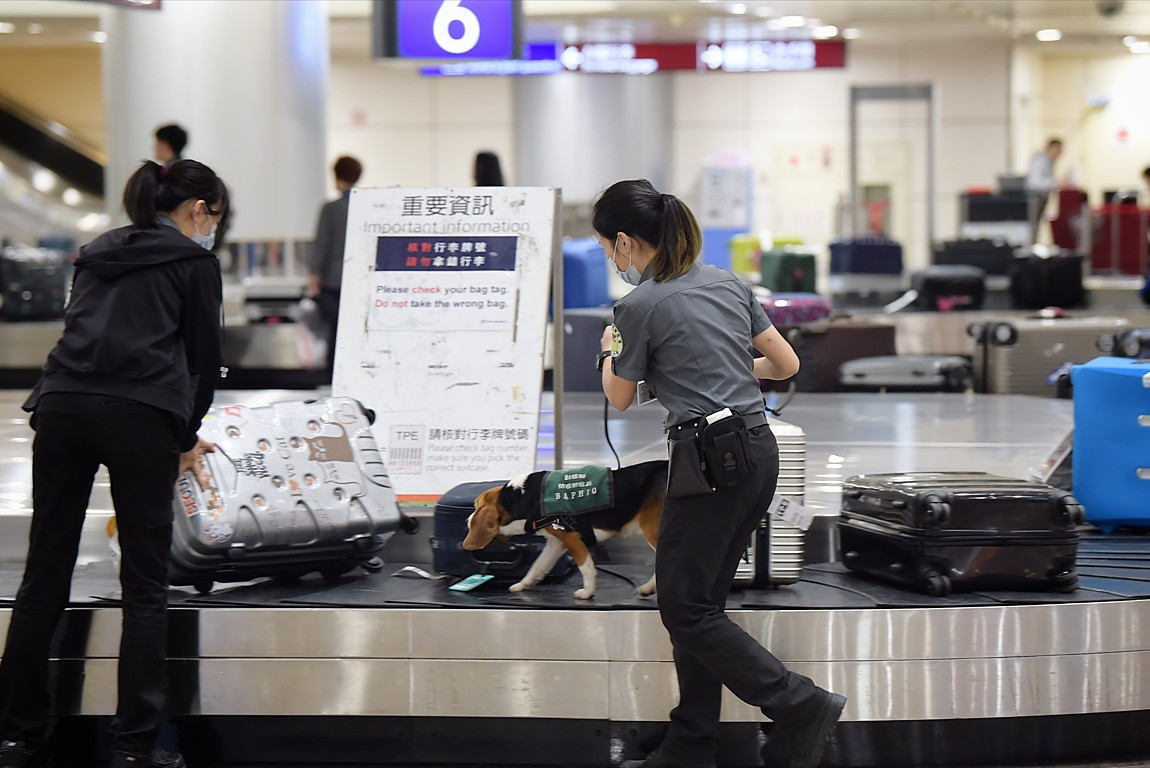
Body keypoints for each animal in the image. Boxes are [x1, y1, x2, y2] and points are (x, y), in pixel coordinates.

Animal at [462, 459, 671, 597]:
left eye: (476, 506)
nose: (467, 519)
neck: (522, 497)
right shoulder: (555, 543)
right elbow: (537, 566)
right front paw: (522, 585)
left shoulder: (573, 539)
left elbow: (586, 568)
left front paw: (587, 592)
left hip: (653, 531)